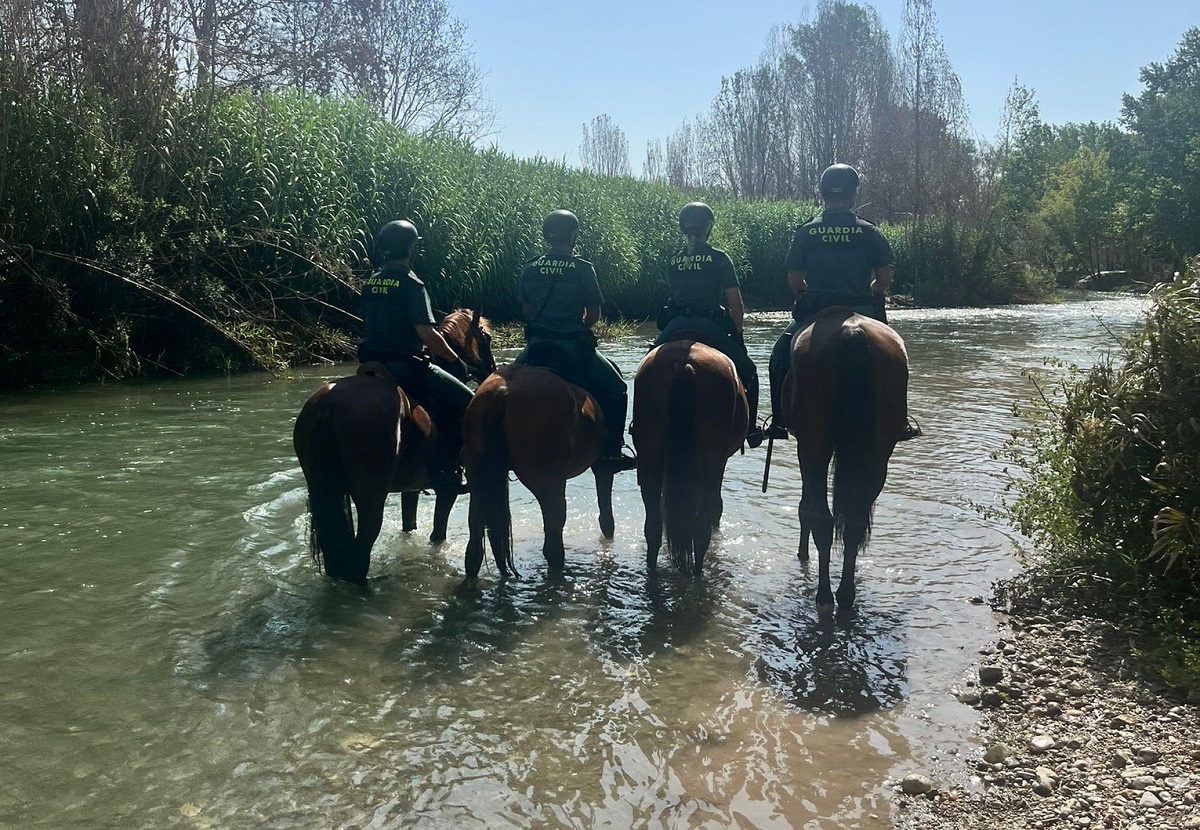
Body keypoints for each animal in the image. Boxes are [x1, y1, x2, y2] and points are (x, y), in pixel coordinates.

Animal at [292, 309, 495, 583]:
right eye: (488, 338)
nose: (491, 371)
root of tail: (329, 403)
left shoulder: (412, 487)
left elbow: (409, 525)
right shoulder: (447, 490)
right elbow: (437, 535)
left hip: (330, 491)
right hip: (370, 499)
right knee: (360, 556)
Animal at [461, 363, 615, 578]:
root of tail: (502, 391)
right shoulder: (602, 467)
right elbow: (606, 510)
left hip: (479, 480)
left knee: (474, 543)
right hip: (547, 482)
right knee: (553, 539)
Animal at [632, 338, 748, 575]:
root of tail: (682, 363)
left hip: (650, 455)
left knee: (653, 525)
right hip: (712, 458)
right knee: (702, 527)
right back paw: (697, 572)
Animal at [782, 306, 910, 616]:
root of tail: (852, 332)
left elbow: (805, 509)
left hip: (814, 447)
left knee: (821, 517)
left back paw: (824, 596)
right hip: (877, 454)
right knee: (854, 522)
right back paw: (845, 594)